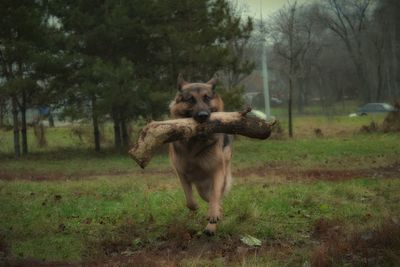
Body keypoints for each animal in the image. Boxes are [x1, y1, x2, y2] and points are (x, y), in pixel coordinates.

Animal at [168, 74, 231, 236]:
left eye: (206, 98)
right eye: (190, 99)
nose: (203, 116)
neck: (195, 142)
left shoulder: (217, 171)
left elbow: (215, 197)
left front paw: (214, 216)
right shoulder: (181, 173)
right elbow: (189, 199)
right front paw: (194, 206)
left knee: (216, 199)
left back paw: (212, 225)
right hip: (201, 187)